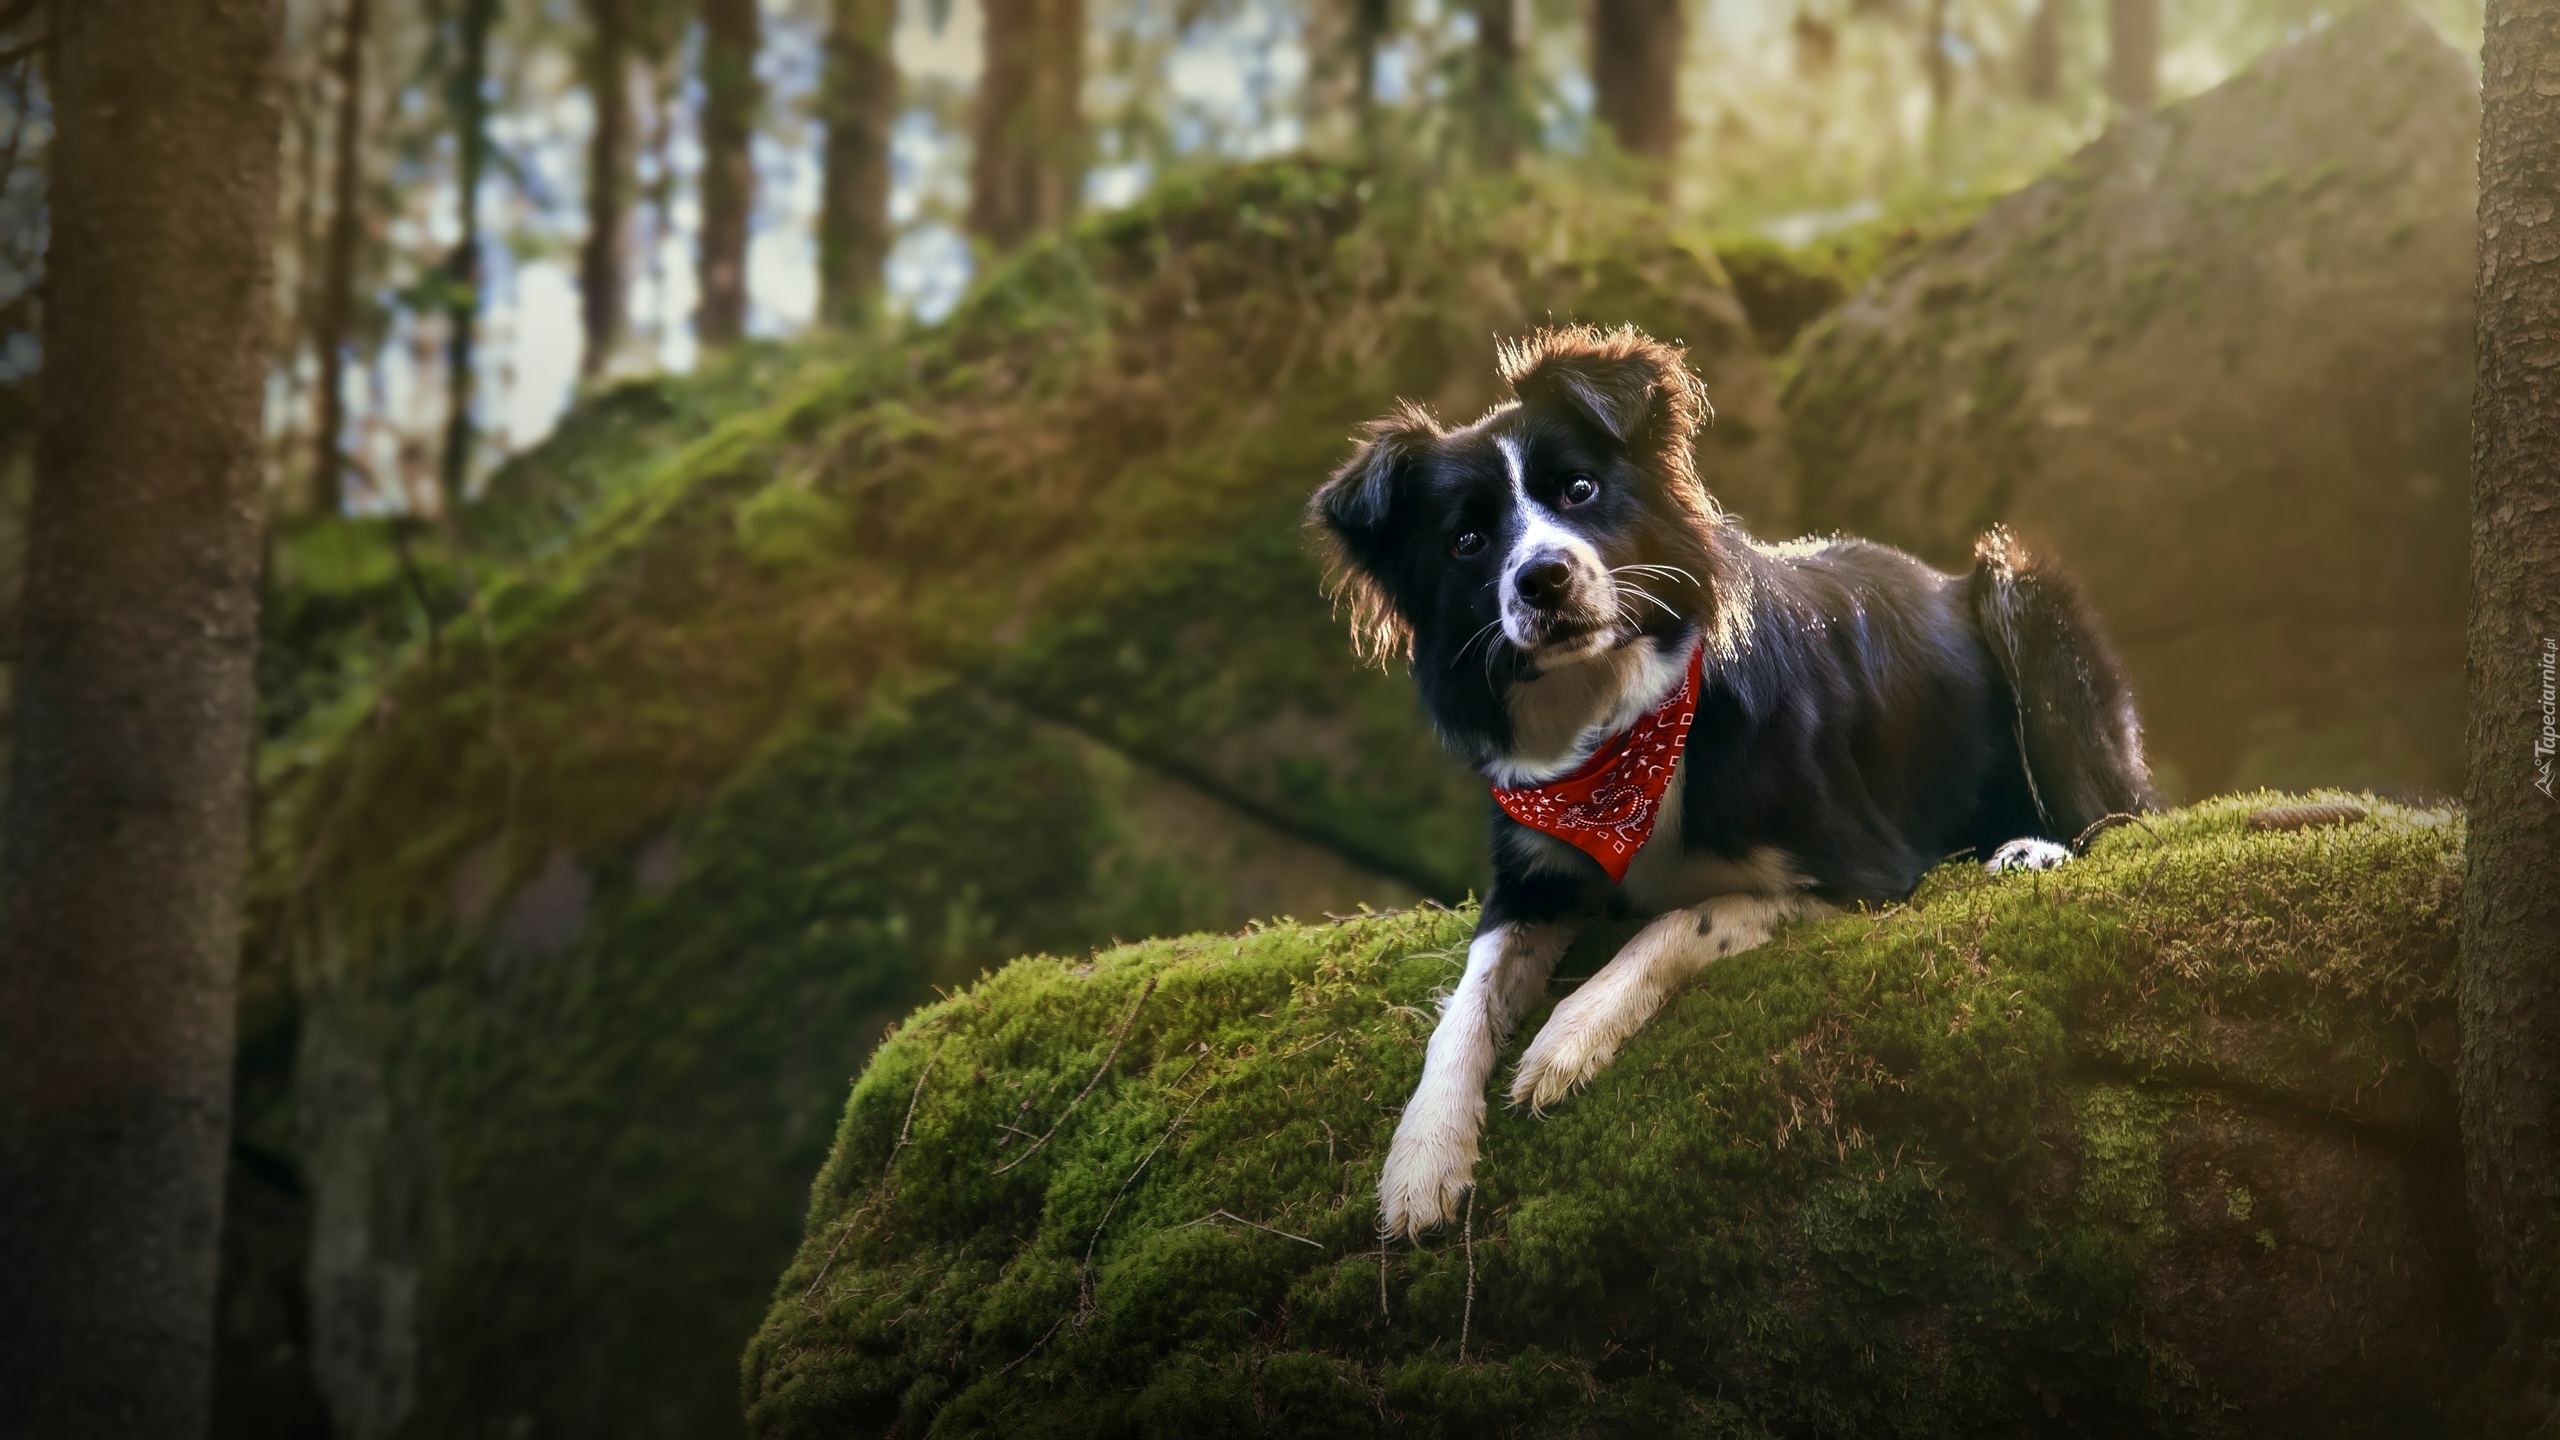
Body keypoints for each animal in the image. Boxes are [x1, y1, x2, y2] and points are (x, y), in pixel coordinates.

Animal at [1300, 325, 2160, 1235]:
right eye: (1466, 543)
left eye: (1579, 489)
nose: (1543, 578)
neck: (1620, 732)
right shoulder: (1531, 876)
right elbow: (1465, 1004)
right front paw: (1423, 1156)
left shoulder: (1865, 868)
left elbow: (1689, 919)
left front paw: (1569, 1036)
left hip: (2021, 592)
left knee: (2121, 812)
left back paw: (2032, 851)